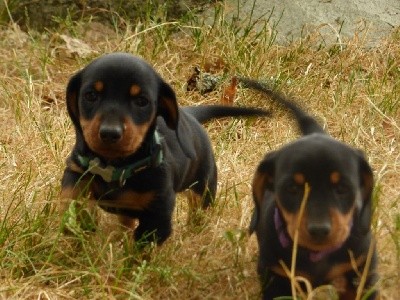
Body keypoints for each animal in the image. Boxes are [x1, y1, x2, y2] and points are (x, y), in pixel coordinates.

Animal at [60, 53, 272, 246]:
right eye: (90, 95)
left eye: (141, 101)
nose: (110, 133)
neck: (116, 167)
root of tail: (191, 114)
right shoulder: (77, 170)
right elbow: (71, 195)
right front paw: (77, 223)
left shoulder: (158, 214)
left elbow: (142, 250)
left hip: (203, 187)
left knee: (199, 210)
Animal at [241, 78, 378, 298]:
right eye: (292, 189)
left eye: (342, 188)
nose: (319, 230)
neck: (316, 256)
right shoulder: (277, 279)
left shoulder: (361, 272)